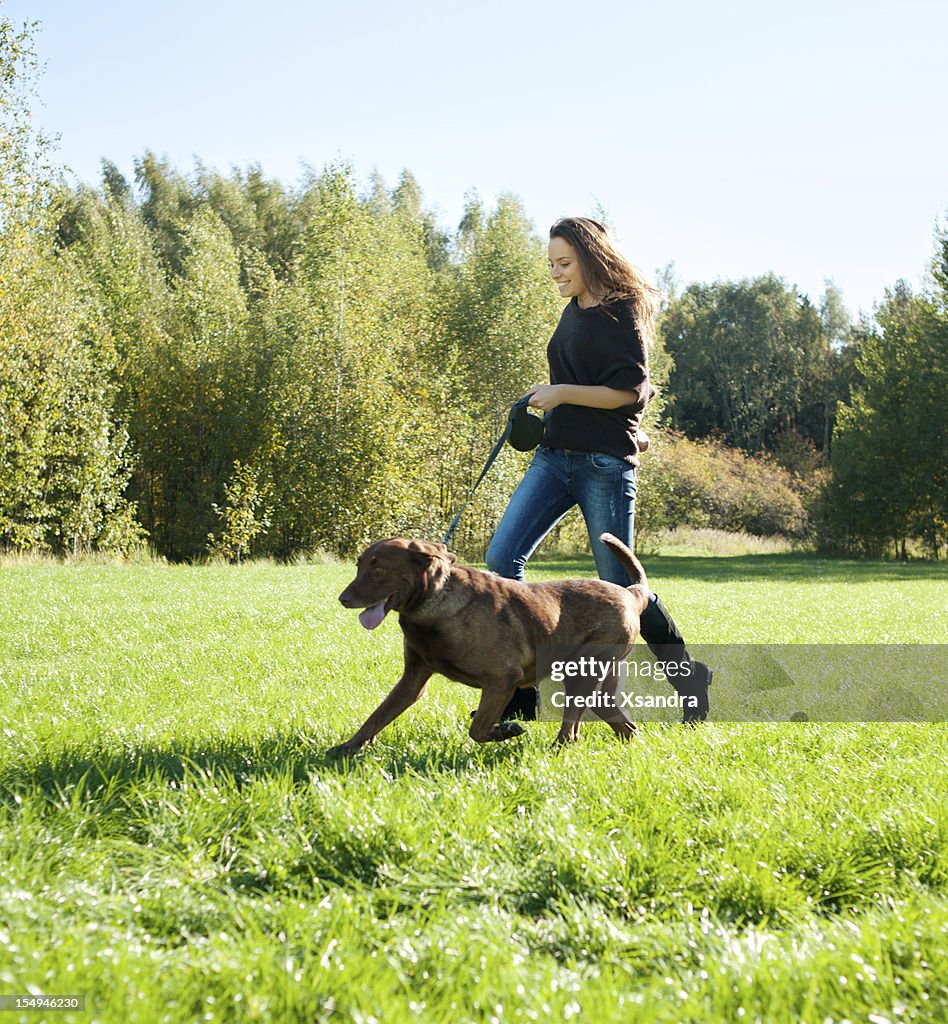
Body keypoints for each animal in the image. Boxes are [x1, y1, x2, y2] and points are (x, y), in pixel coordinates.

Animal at [327, 532, 655, 757]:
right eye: (359, 565)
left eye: (379, 568)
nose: (343, 598)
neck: (434, 600)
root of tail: (632, 593)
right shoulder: (413, 680)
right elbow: (377, 716)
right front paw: (348, 747)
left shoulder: (501, 680)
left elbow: (478, 729)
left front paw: (506, 730)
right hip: (598, 684)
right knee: (624, 727)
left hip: (584, 674)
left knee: (572, 729)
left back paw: (554, 750)